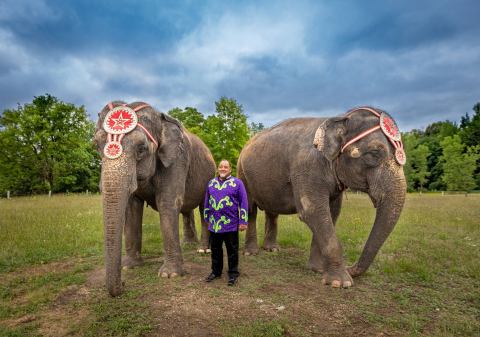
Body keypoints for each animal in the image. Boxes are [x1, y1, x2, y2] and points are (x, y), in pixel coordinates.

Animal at [94, 100, 215, 294]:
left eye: (141, 149)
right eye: (96, 145)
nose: (124, 284)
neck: (160, 118)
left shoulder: (177, 158)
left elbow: (167, 201)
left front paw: (170, 275)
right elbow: (132, 208)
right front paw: (129, 266)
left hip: (209, 175)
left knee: (205, 209)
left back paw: (202, 250)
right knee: (186, 210)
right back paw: (188, 244)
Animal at [238, 107, 406, 286]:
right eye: (374, 153)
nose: (350, 268)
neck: (340, 118)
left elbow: (331, 213)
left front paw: (318, 269)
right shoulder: (306, 168)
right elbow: (313, 212)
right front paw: (340, 282)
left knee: (272, 212)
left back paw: (272, 249)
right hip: (242, 173)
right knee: (250, 210)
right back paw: (251, 253)